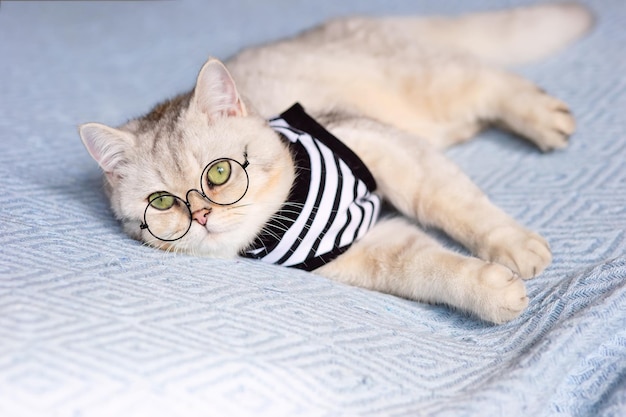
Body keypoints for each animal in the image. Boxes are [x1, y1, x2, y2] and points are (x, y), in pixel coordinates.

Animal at [80, 1, 592, 324]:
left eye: (219, 173)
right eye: (163, 203)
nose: (203, 215)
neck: (283, 216)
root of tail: (338, 25)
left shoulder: (380, 145)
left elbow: (453, 204)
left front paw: (513, 245)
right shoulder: (360, 249)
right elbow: (428, 268)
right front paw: (491, 291)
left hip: (428, 84)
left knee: (493, 81)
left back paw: (543, 118)